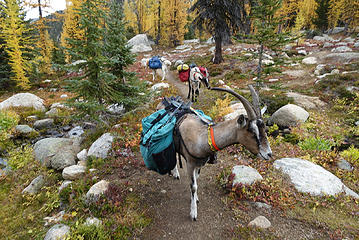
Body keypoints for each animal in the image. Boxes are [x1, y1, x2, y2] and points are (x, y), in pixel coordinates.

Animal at [173, 85, 272, 220]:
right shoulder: (190, 164)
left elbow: (196, 180)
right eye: (252, 131)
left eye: (264, 129)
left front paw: (196, 199)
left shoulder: (199, 164)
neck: (201, 136)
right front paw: (193, 213)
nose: (269, 154)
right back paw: (175, 174)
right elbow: (193, 186)